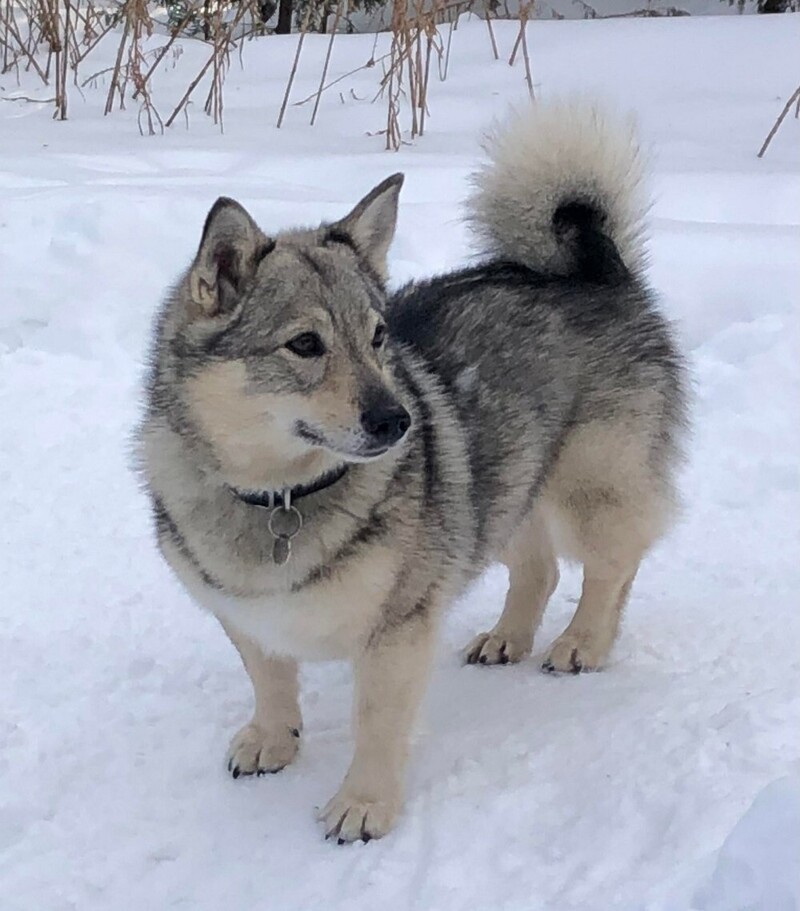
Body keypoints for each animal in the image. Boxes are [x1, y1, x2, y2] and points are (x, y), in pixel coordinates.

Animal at [136, 100, 688, 840]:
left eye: (377, 335)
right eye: (304, 344)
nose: (397, 420)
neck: (283, 494)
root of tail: (595, 267)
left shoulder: (398, 624)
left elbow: (375, 721)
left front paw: (364, 804)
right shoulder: (245, 612)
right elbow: (269, 678)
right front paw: (274, 739)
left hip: (590, 488)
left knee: (613, 567)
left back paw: (583, 642)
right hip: (497, 489)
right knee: (539, 569)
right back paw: (507, 637)